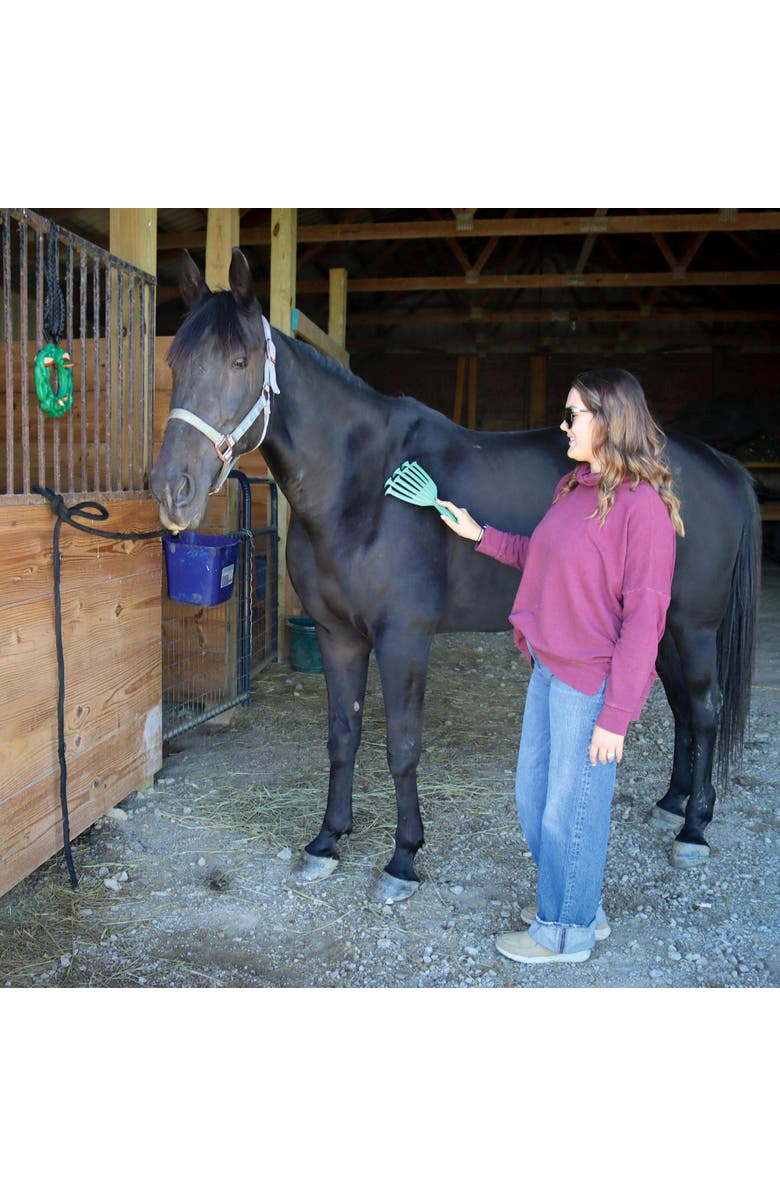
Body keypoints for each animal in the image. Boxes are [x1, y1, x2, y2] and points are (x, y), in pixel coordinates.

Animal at [150, 248, 762, 904]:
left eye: (239, 362)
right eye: (175, 361)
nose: (171, 490)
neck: (362, 485)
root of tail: (717, 463)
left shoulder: (404, 638)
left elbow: (401, 745)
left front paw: (403, 858)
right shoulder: (340, 637)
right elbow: (343, 737)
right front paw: (327, 841)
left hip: (693, 626)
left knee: (704, 709)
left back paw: (694, 830)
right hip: (660, 628)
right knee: (681, 709)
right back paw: (672, 806)